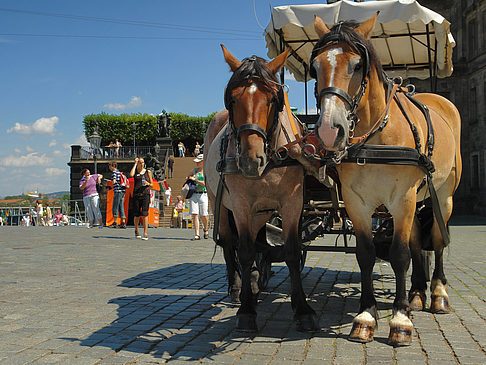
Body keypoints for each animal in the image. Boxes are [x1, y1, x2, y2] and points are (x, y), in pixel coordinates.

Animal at [202, 44, 318, 330]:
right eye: (232, 100)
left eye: (272, 100)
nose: (250, 160)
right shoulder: (241, 205)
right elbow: (243, 251)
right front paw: (246, 310)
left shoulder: (292, 204)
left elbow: (291, 251)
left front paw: (302, 309)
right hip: (218, 201)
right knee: (229, 243)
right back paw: (237, 288)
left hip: (261, 211)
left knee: (256, 240)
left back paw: (254, 281)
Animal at [312, 13, 464, 344]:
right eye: (315, 66)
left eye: (357, 65)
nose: (330, 130)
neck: (376, 137)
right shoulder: (357, 202)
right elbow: (367, 254)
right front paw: (366, 316)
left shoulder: (402, 198)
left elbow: (399, 254)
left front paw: (400, 319)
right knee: (418, 242)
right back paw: (417, 294)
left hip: (442, 196)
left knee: (437, 240)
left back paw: (438, 295)